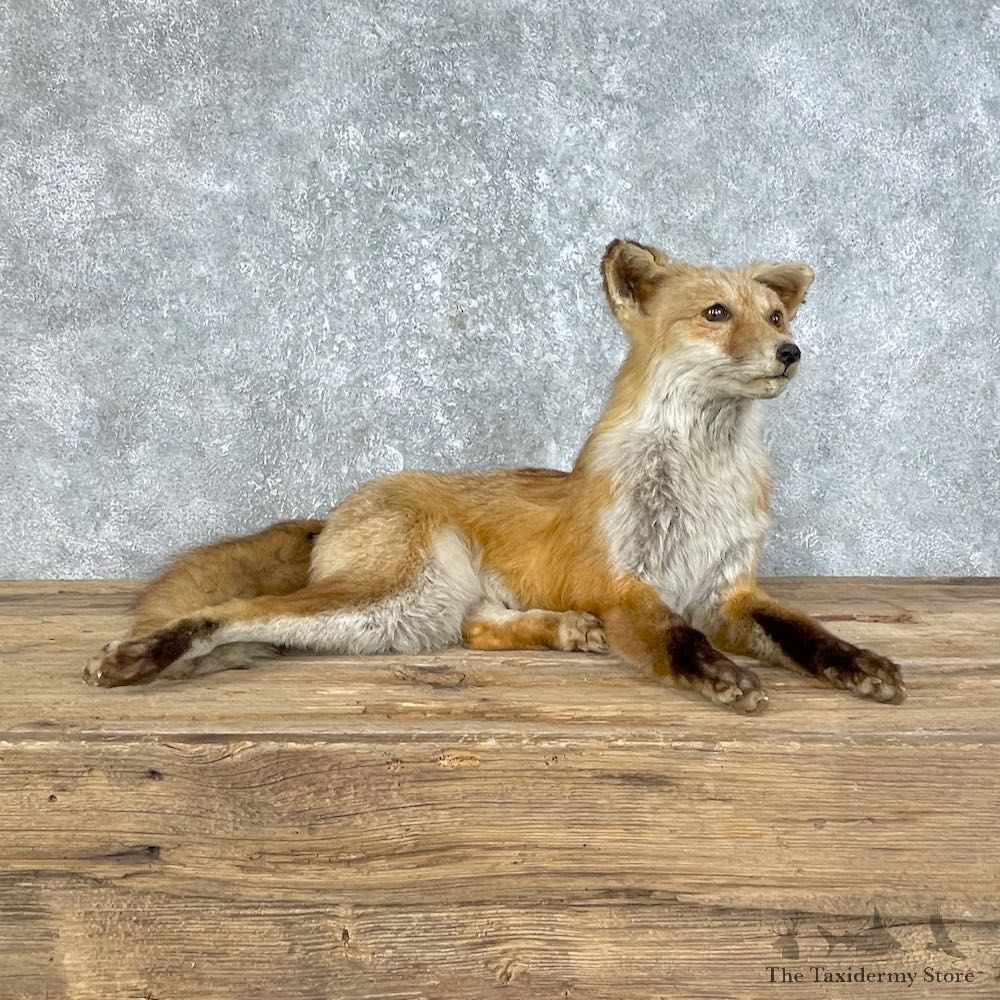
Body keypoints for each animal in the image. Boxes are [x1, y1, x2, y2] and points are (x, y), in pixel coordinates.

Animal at [83, 239, 906, 711]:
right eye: (715, 313)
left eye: (776, 317)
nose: (791, 353)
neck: (701, 480)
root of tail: (340, 505)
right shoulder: (627, 586)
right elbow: (679, 640)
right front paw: (723, 676)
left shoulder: (731, 592)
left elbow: (807, 633)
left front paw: (859, 664)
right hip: (390, 596)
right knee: (237, 613)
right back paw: (138, 657)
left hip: (408, 617)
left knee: (475, 629)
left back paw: (560, 630)